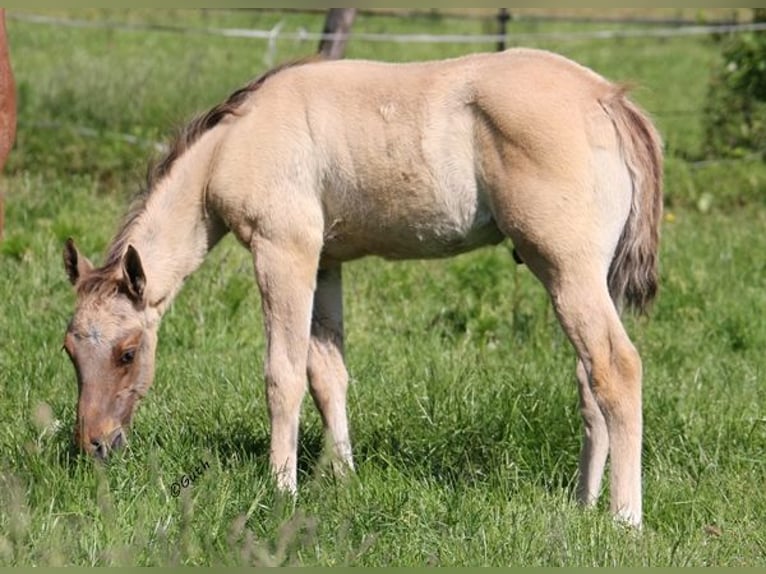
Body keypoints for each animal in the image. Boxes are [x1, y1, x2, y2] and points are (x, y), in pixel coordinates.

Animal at [64, 49, 664, 528]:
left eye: (127, 352)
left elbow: (283, 375)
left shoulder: (283, 251)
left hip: (566, 270)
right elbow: (327, 374)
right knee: (589, 381)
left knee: (616, 368)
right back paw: (584, 505)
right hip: (584, 279)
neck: (233, 144)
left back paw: (624, 519)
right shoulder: (325, 262)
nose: (94, 445)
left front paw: (282, 489)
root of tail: (607, 98)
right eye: (70, 350)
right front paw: (343, 478)